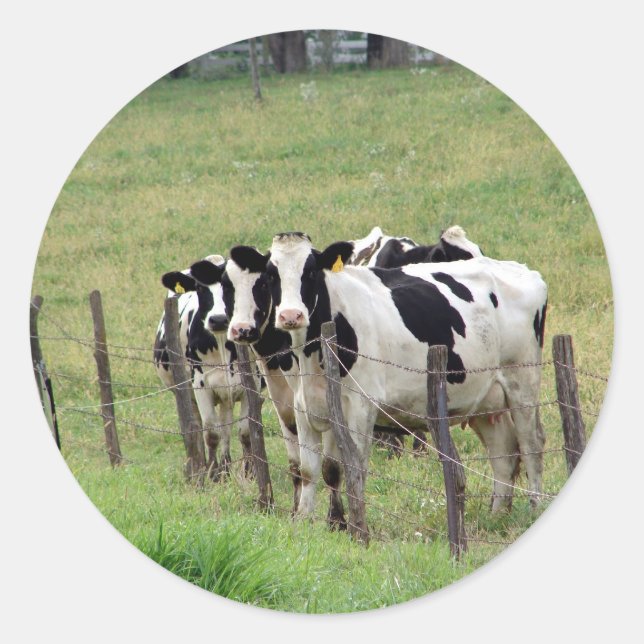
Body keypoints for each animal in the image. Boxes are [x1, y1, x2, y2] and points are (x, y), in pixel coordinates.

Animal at [153, 255, 254, 481]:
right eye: (199, 288)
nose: (218, 319)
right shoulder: (200, 384)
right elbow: (211, 433)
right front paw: (213, 472)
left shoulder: (251, 384)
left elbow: (244, 432)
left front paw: (249, 472)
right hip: (186, 392)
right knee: (196, 427)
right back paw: (199, 467)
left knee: (226, 425)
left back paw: (226, 466)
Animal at [220, 232, 548, 534]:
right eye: (270, 275)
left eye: (310, 271)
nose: (291, 315)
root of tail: (522, 269)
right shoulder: (303, 407)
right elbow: (310, 469)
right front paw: (304, 521)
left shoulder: (361, 406)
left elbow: (353, 467)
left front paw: (355, 529)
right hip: (484, 399)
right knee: (504, 452)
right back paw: (497, 515)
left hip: (522, 384)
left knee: (531, 445)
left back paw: (534, 509)